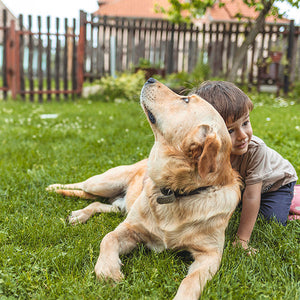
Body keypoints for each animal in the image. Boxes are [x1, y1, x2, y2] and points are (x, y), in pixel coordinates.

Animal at [47, 78, 241, 298]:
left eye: (185, 100)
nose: (150, 79)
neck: (175, 192)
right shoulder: (130, 228)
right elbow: (108, 237)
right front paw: (108, 270)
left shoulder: (210, 255)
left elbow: (191, 281)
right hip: (102, 183)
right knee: (83, 187)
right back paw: (56, 190)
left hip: (117, 205)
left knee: (96, 203)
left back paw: (80, 213)